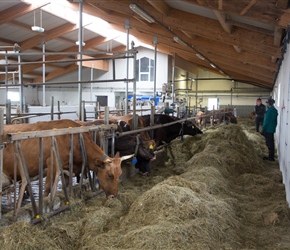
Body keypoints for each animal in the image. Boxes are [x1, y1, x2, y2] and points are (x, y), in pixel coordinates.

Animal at [2, 119, 132, 199]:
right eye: (110, 175)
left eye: (120, 174)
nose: (114, 196)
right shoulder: (52, 164)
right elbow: (47, 189)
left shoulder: (67, 169)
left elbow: (68, 184)